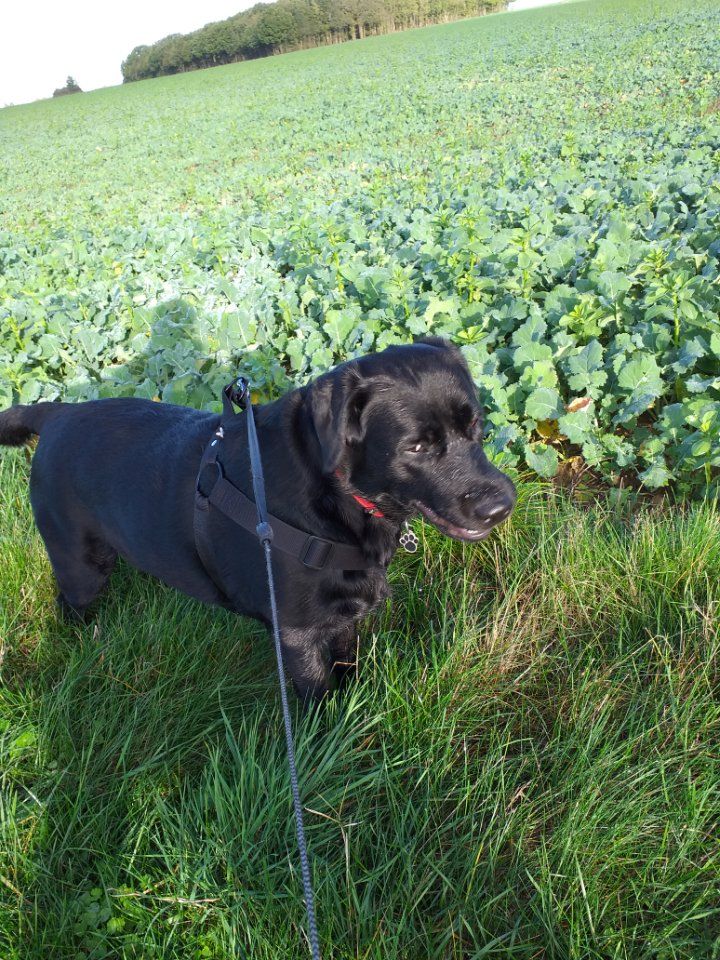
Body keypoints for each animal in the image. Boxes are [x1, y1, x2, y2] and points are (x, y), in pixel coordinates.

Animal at [1, 342, 516, 700]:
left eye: (476, 425)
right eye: (417, 446)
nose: (502, 504)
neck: (335, 492)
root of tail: (55, 413)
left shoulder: (341, 617)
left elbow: (347, 665)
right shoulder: (296, 635)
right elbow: (318, 697)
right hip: (80, 564)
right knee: (70, 604)